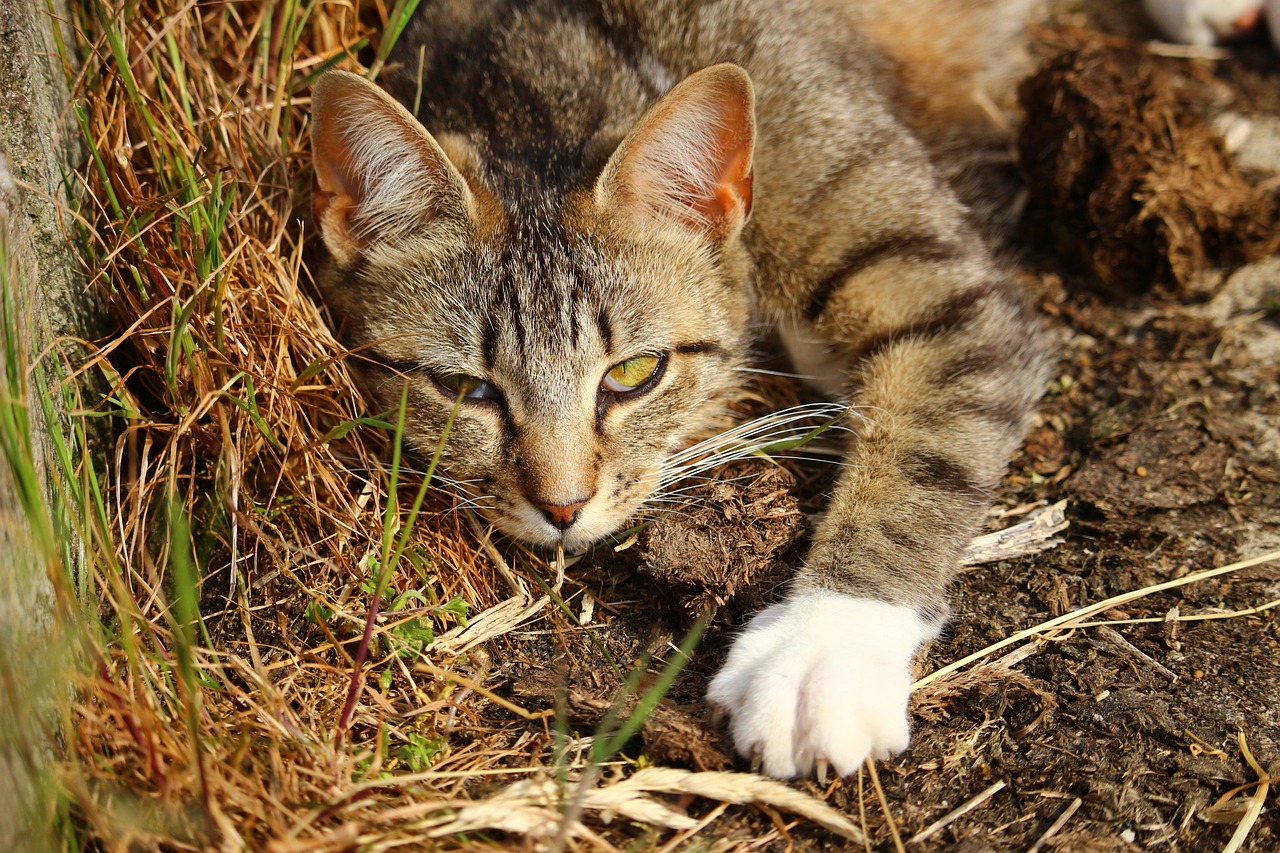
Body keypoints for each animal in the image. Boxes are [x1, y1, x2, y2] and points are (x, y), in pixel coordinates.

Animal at [309, 0, 1049, 773]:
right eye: (463, 387)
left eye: (635, 373)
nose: (564, 507)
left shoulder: (946, 294)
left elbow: (922, 460)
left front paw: (824, 651)